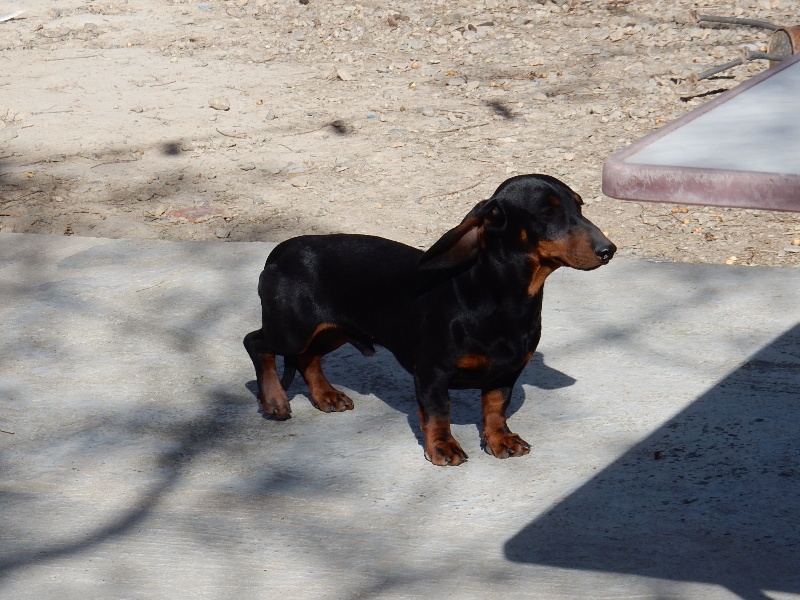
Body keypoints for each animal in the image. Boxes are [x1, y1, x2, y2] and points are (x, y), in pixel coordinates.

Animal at [244, 174, 616, 466]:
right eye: (547, 212)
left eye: (580, 207)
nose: (608, 250)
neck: (497, 296)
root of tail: (280, 250)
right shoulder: (431, 373)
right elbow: (438, 412)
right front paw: (442, 448)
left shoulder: (506, 373)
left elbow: (496, 406)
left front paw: (500, 440)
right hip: (293, 329)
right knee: (256, 342)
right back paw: (275, 400)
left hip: (332, 329)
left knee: (307, 358)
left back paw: (326, 396)